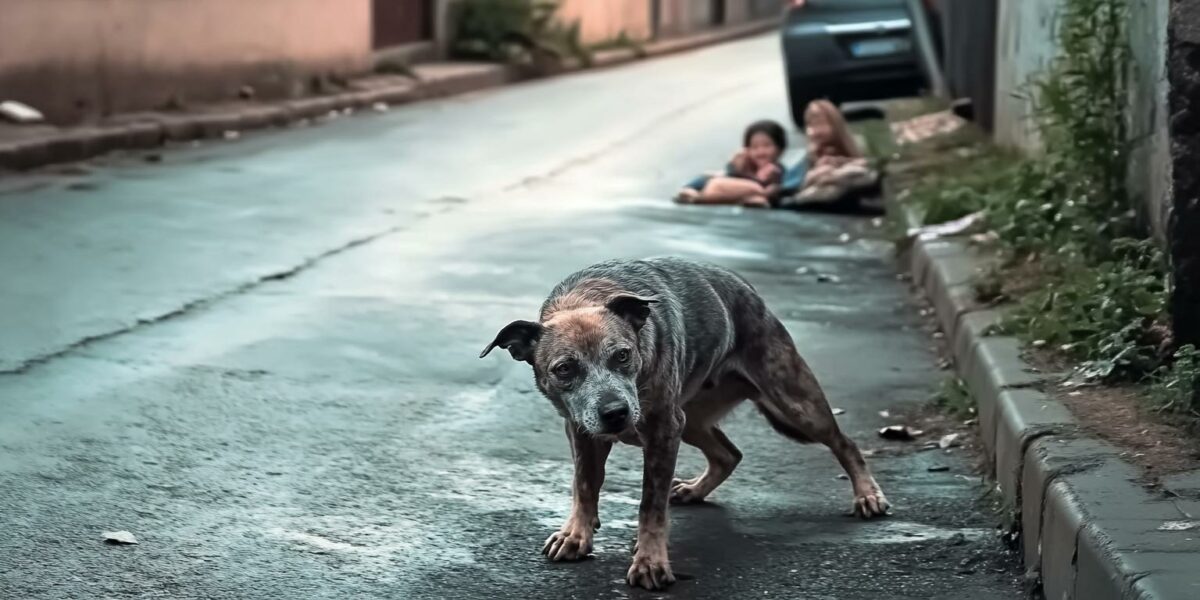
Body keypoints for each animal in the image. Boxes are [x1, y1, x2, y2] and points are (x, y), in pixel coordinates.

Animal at [480, 256, 892, 590]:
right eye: (564, 369)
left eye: (623, 355)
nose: (616, 413)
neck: (584, 297)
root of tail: (750, 292)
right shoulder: (582, 429)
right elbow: (585, 483)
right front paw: (576, 534)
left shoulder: (662, 429)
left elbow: (651, 505)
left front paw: (649, 561)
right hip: (690, 418)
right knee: (729, 454)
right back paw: (694, 489)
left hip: (793, 401)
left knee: (843, 442)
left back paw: (868, 494)